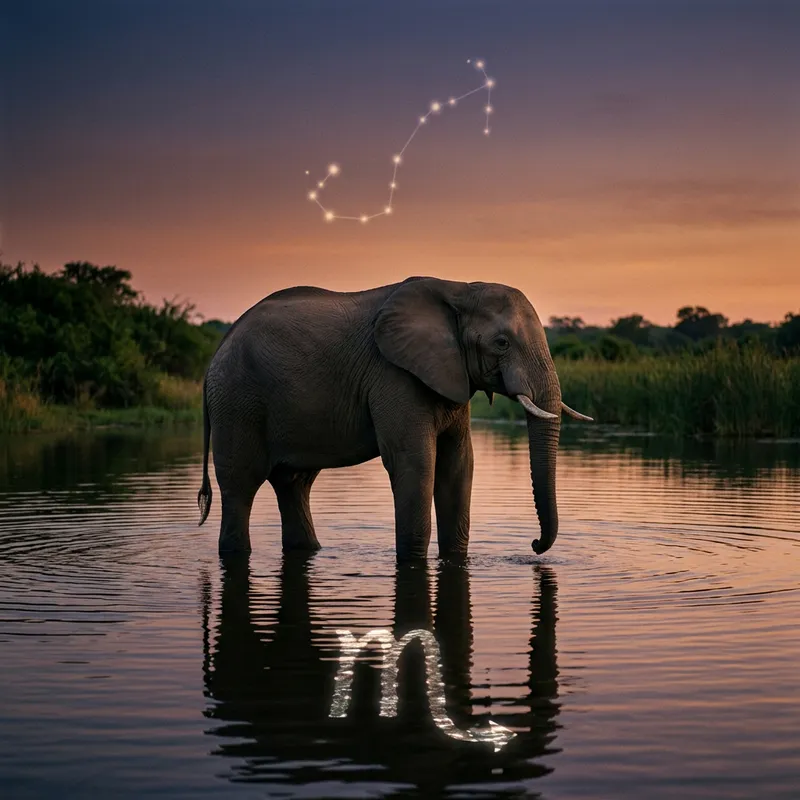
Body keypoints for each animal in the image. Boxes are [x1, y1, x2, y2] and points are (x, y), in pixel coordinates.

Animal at [197, 276, 592, 559]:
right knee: (241, 486)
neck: (460, 288)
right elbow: (415, 461)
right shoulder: (394, 375)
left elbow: (458, 464)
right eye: (502, 343)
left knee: (294, 484)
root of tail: (217, 350)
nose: (534, 547)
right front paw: (413, 562)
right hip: (237, 402)